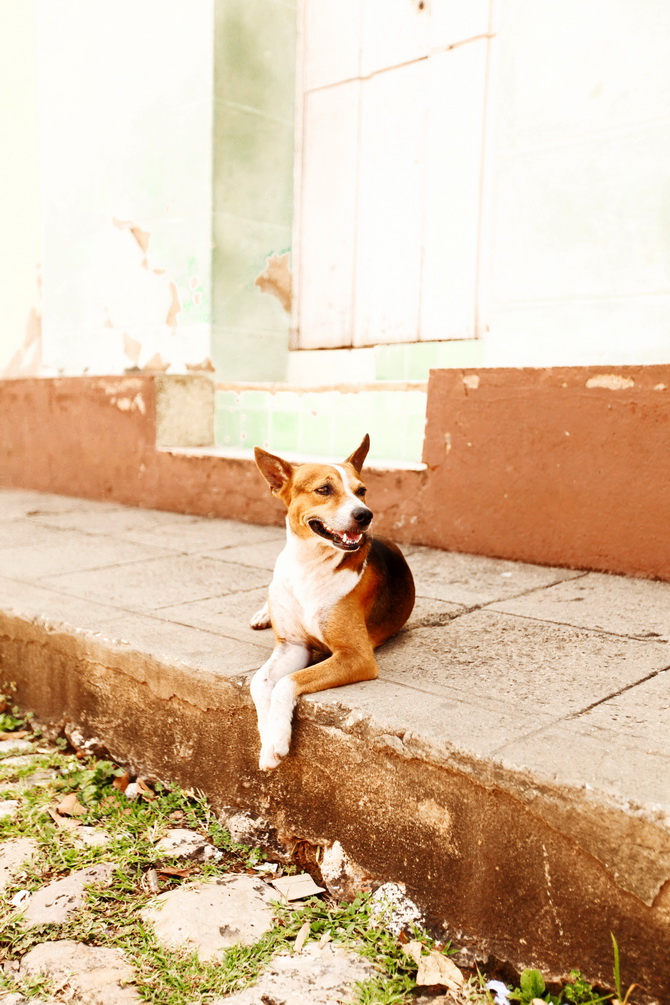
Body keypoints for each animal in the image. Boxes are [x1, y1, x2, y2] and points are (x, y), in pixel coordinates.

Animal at [246, 432, 413, 767]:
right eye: (324, 489)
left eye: (362, 491)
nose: (365, 514)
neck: (309, 566)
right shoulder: (292, 645)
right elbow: (260, 682)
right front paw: (267, 735)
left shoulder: (355, 656)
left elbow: (287, 682)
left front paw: (275, 741)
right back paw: (262, 614)